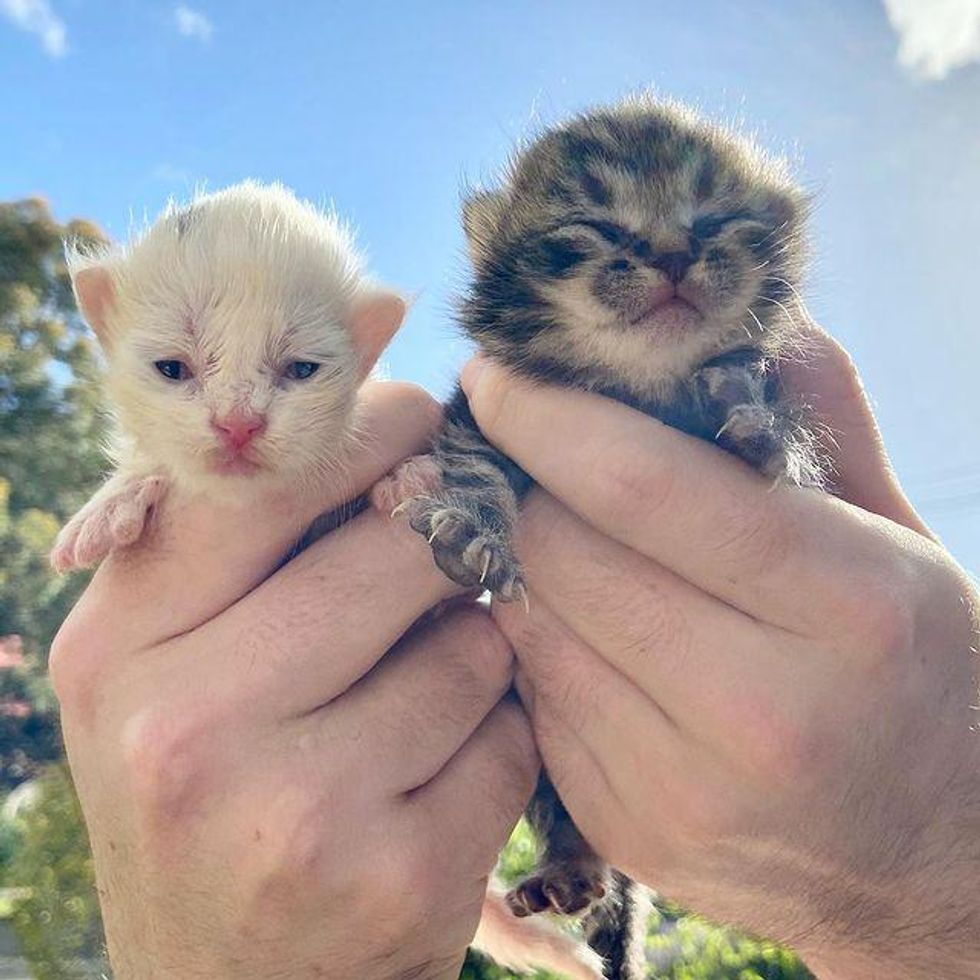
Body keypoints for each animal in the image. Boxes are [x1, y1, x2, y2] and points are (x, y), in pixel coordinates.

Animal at [376, 94, 820, 980]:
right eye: (598, 227)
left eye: (714, 219)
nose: (676, 253)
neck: (637, 390)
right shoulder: (480, 411)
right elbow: (473, 463)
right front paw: (476, 527)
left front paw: (759, 425)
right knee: (565, 813)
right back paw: (569, 870)